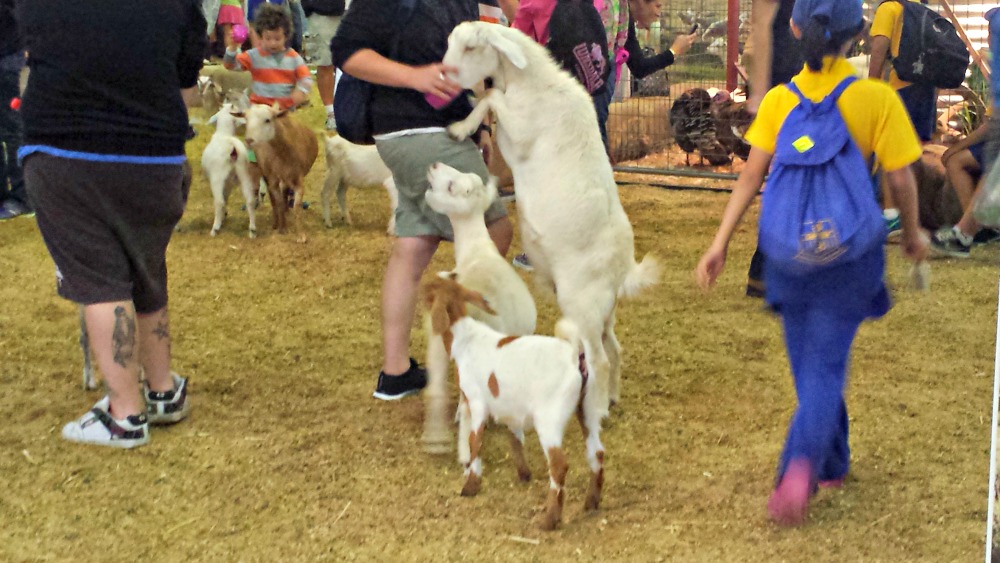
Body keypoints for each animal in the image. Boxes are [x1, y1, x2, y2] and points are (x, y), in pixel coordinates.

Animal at [442, 22, 660, 416]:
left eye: (471, 48)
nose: (445, 74)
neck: (534, 84)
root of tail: (623, 269)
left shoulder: (519, 132)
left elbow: (492, 96)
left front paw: (460, 127)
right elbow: (492, 94)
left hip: (582, 303)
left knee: (600, 358)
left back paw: (596, 409)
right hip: (602, 311)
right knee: (614, 349)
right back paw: (613, 397)